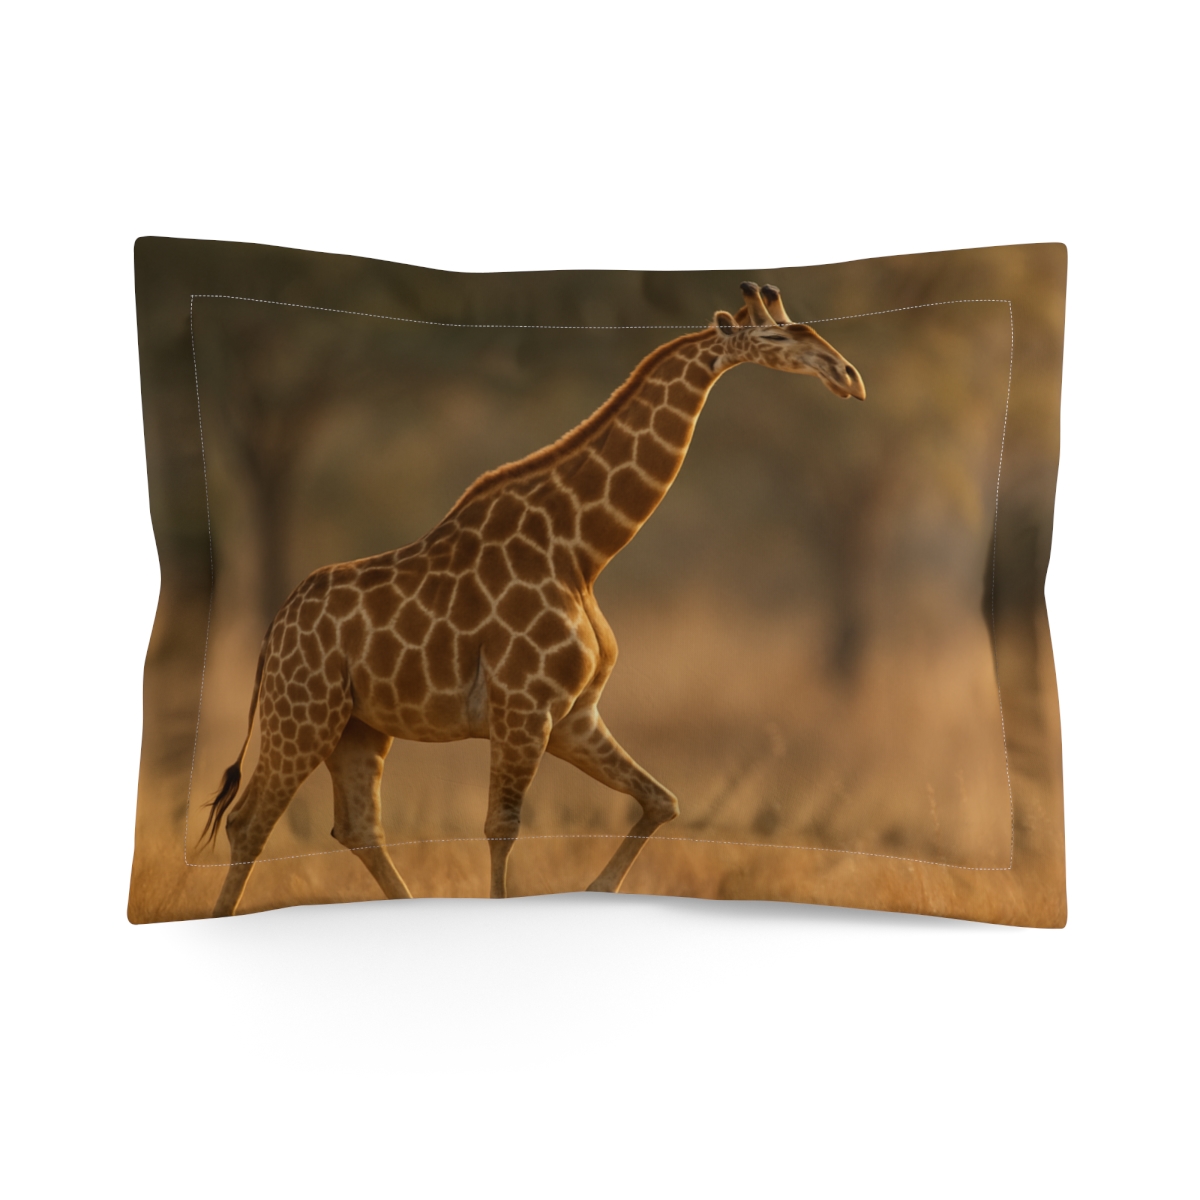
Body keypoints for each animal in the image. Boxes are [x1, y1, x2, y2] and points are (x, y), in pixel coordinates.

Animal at [201, 282, 866, 916]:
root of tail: (274, 631)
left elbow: (663, 801)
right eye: (777, 334)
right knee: (249, 821)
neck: (581, 550)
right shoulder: (523, 708)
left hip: (357, 726)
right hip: (303, 713)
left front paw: (598, 891)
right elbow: (502, 827)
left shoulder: (573, 714)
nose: (848, 377)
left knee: (358, 827)